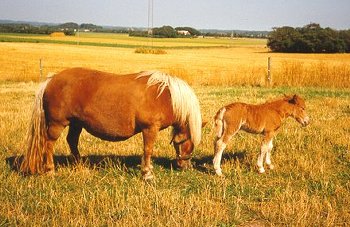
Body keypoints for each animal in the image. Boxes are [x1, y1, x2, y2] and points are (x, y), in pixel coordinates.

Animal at [20, 67, 202, 179]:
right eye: (188, 142)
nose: (186, 166)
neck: (164, 96)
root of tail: (51, 80)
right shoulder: (150, 129)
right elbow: (148, 150)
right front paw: (147, 173)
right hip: (57, 124)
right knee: (48, 143)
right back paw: (50, 170)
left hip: (76, 123)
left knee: (72, 141)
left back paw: (80, 165)